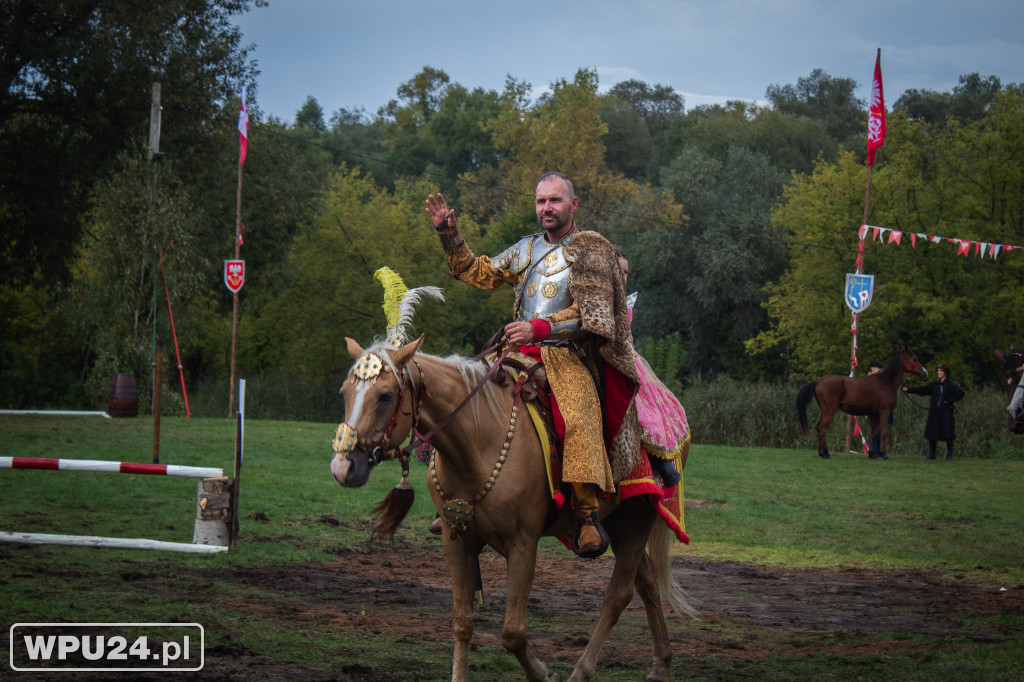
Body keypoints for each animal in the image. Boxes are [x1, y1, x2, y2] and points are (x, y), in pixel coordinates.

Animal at [331, 333, 700, 679]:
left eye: (385, 396)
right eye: (345, 393)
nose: (343, 467)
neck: (480, 440)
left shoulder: (523, 544)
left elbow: (512, 632)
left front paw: (544, 674)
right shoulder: (456, 541)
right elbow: (462, 621)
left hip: (638, 515)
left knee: (620, 593)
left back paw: (582, 670)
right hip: (619, 522)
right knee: (647, 581)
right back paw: (660, 664)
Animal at [794, 346, 933, 456]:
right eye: (915, 359)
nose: (925, 373)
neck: (886, 382)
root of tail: (818, 381)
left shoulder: (876, 413)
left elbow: (874, 433)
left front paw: (872, 454)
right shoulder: (885, 411)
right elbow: (883, 431)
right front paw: (883, 454)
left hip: (824, 411)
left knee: (819, 427)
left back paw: (822, 452)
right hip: (829, 411)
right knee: (822, 428)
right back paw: (825, 454)